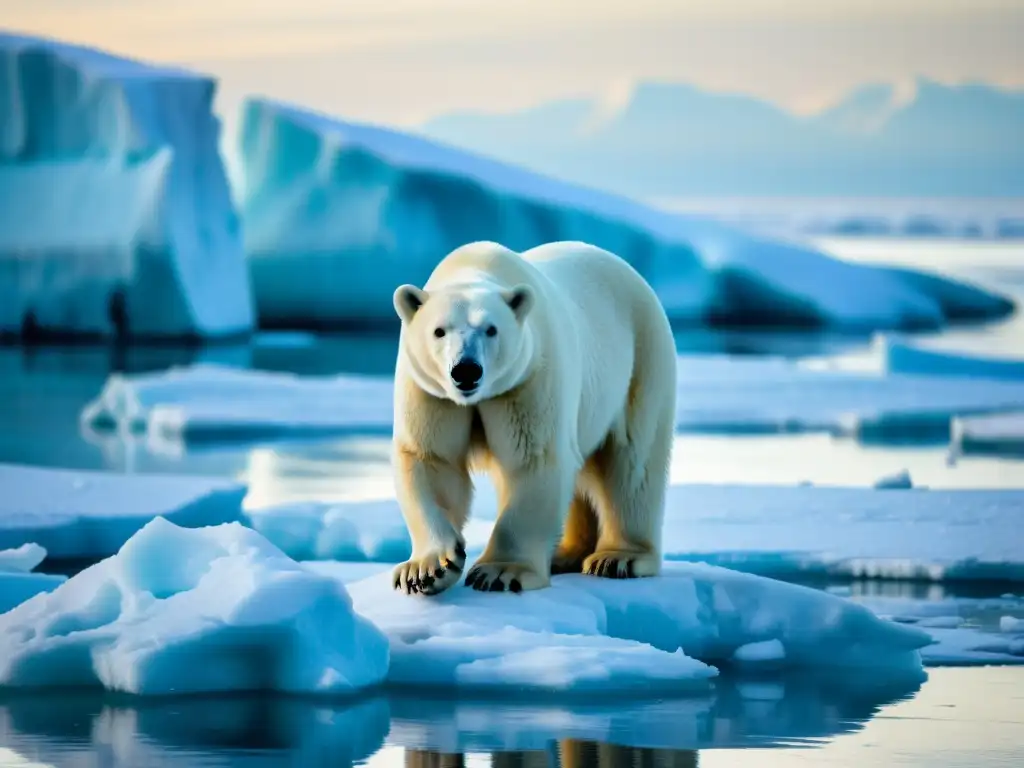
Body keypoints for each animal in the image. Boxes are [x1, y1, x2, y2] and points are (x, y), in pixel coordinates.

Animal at [387, 243, 675, 598]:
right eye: (439, 331)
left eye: (491, 329)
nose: (466, 370)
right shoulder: (432, 392)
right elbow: (431, 459)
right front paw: (426, 570)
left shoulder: (528, 378)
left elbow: (534, 459)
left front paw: (500, 572)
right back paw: (566, 553)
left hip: (642, 358)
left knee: (634, 461)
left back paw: (618, 558)